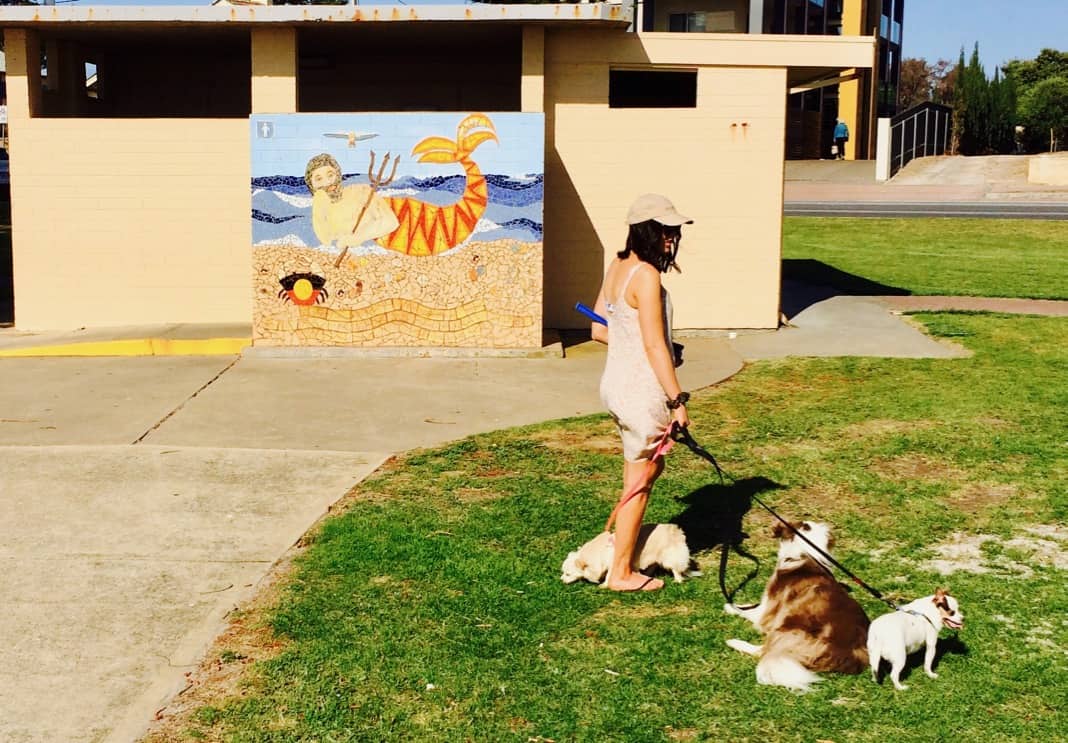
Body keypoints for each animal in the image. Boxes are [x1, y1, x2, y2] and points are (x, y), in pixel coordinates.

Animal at [559, 523, 700, 585]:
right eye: (563, 573)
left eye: (568, 574)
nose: (561, 580)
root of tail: (678, 532)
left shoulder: (613, 566)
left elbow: (608, 576)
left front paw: (605, 585)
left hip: (669, 558)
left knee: (676, 570)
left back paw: (678, 580)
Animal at [726, 523, 867, 691]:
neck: (806, 554)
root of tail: (849, 654)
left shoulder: (767, 610)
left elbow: (747, 610)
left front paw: (730, 606)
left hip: (784, 630)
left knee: (762, 651)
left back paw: (734, 642)